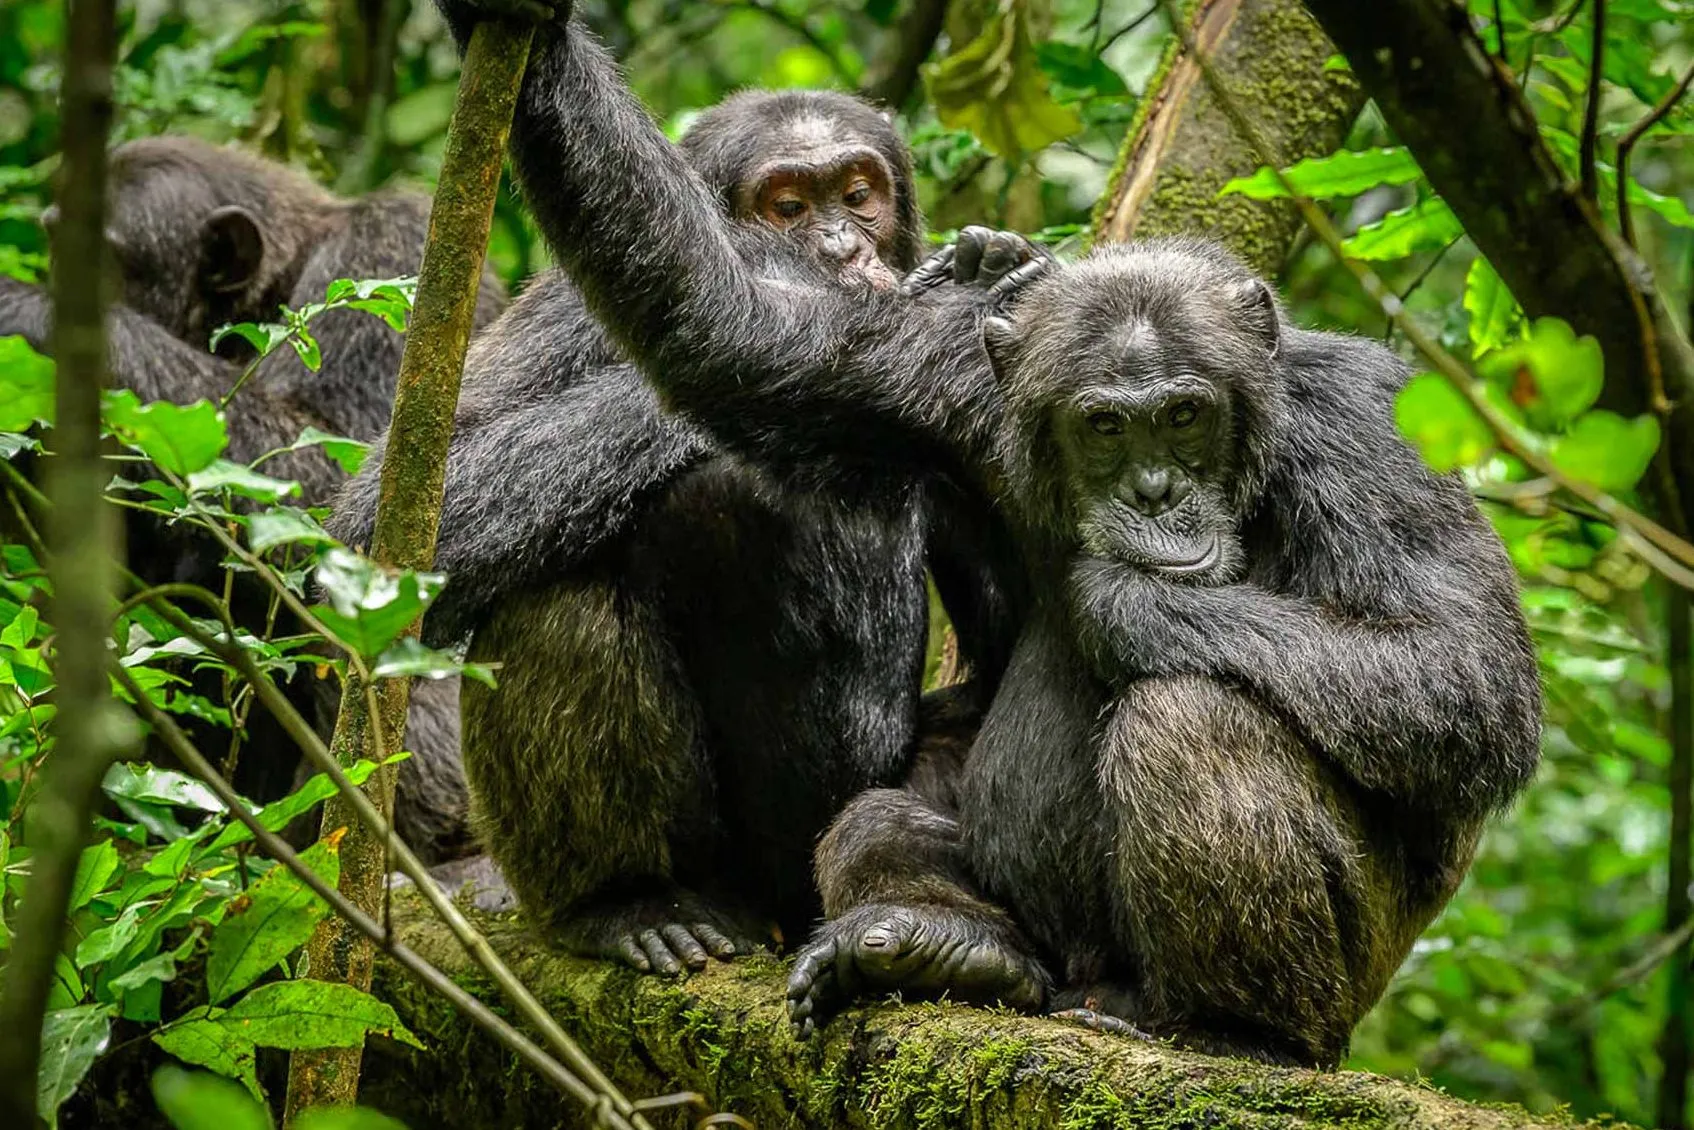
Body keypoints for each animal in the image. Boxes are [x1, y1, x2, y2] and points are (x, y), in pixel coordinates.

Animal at [412, 5, 1542, 1064]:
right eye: (1103, 425)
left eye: (1184, 413)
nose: (1155, 490)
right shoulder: (948, 381)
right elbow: (729, 329)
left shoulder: (1372, 432)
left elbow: (1458, 669)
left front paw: (1124, 597)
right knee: (857, 807)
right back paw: (903, 939)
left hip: (1338, 983)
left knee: (1193, 717)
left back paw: (1236, 1030)